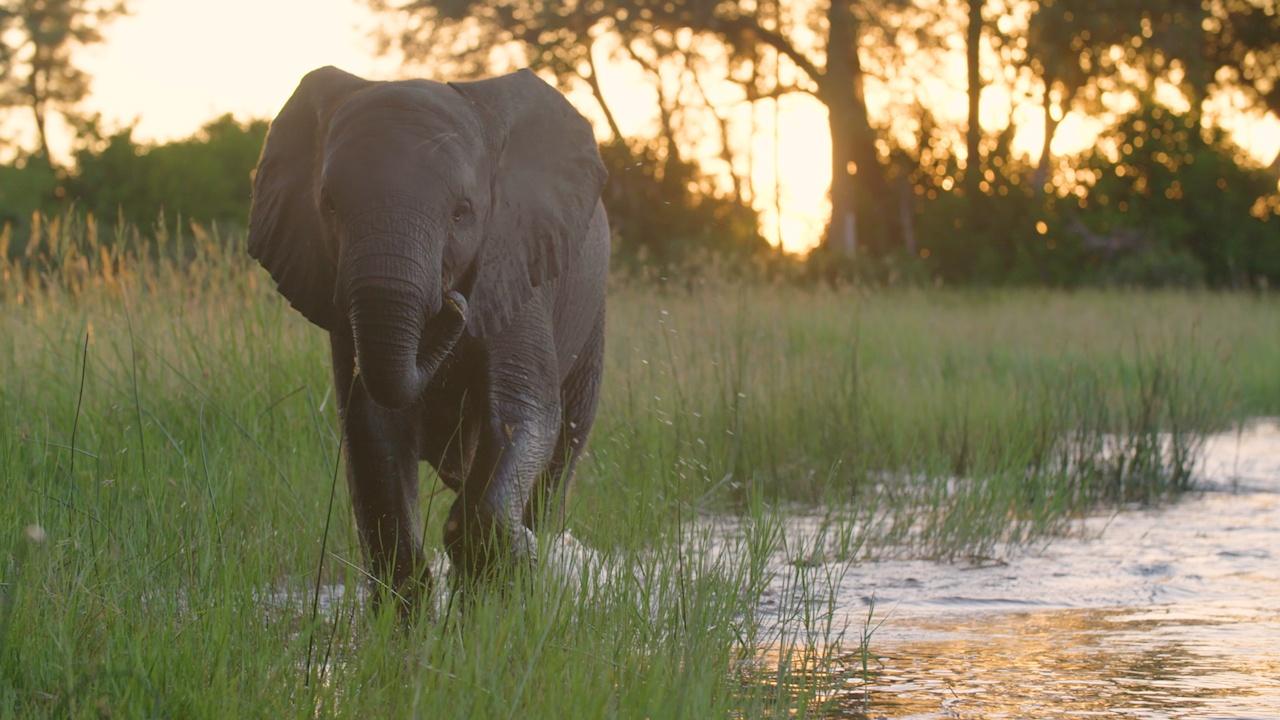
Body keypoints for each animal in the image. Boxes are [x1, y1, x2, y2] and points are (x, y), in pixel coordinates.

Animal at [250, 65, 614, 604]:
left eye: (462, 212)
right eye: (328, 206)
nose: (454, 304)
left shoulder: (516, 260)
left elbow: (521, 413)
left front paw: (520, 559)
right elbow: (374, 427)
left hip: (592, 320)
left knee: (561, 450)